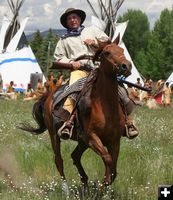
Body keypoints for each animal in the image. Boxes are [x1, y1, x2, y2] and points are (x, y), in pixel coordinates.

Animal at [19, 35, 131, 188]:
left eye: (122, 50)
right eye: (107, 52)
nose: (126, 66)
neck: (105, 106)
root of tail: (49, 96)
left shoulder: (114, 141)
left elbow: (113, 167)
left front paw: (104, 185)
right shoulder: (91, 137)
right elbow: (108, 160)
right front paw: (103, 185)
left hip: (81, 142)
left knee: (75, 156)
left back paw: (84, 182)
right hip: (55, 135)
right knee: (59, 160)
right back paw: (66, 187)